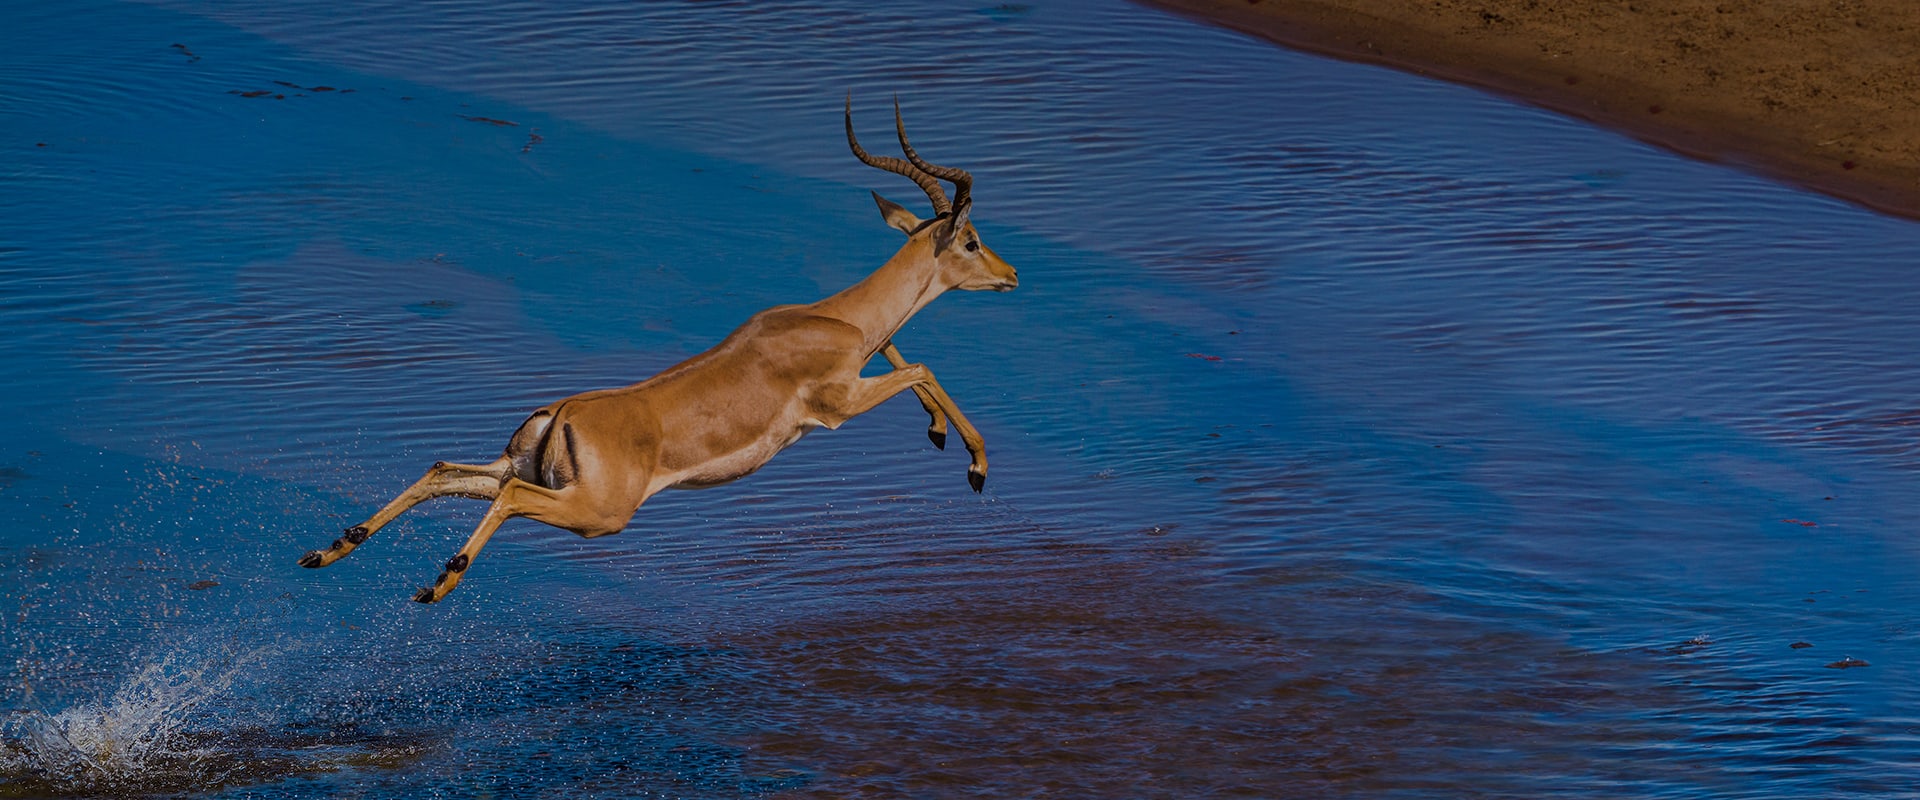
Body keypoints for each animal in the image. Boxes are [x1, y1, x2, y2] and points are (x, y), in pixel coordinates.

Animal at [298, 98, 1019, 603]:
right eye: (972, 239)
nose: (1012, 275)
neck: (833, 319)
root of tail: (563, 413)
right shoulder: (839, 405)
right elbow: (920, 363)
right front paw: (973, 463)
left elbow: (902, 350)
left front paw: (942, 436)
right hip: (593, 513)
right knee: (504, 499)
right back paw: (436, 583)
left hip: (518, 470)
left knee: (443, 469)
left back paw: (331, 550)